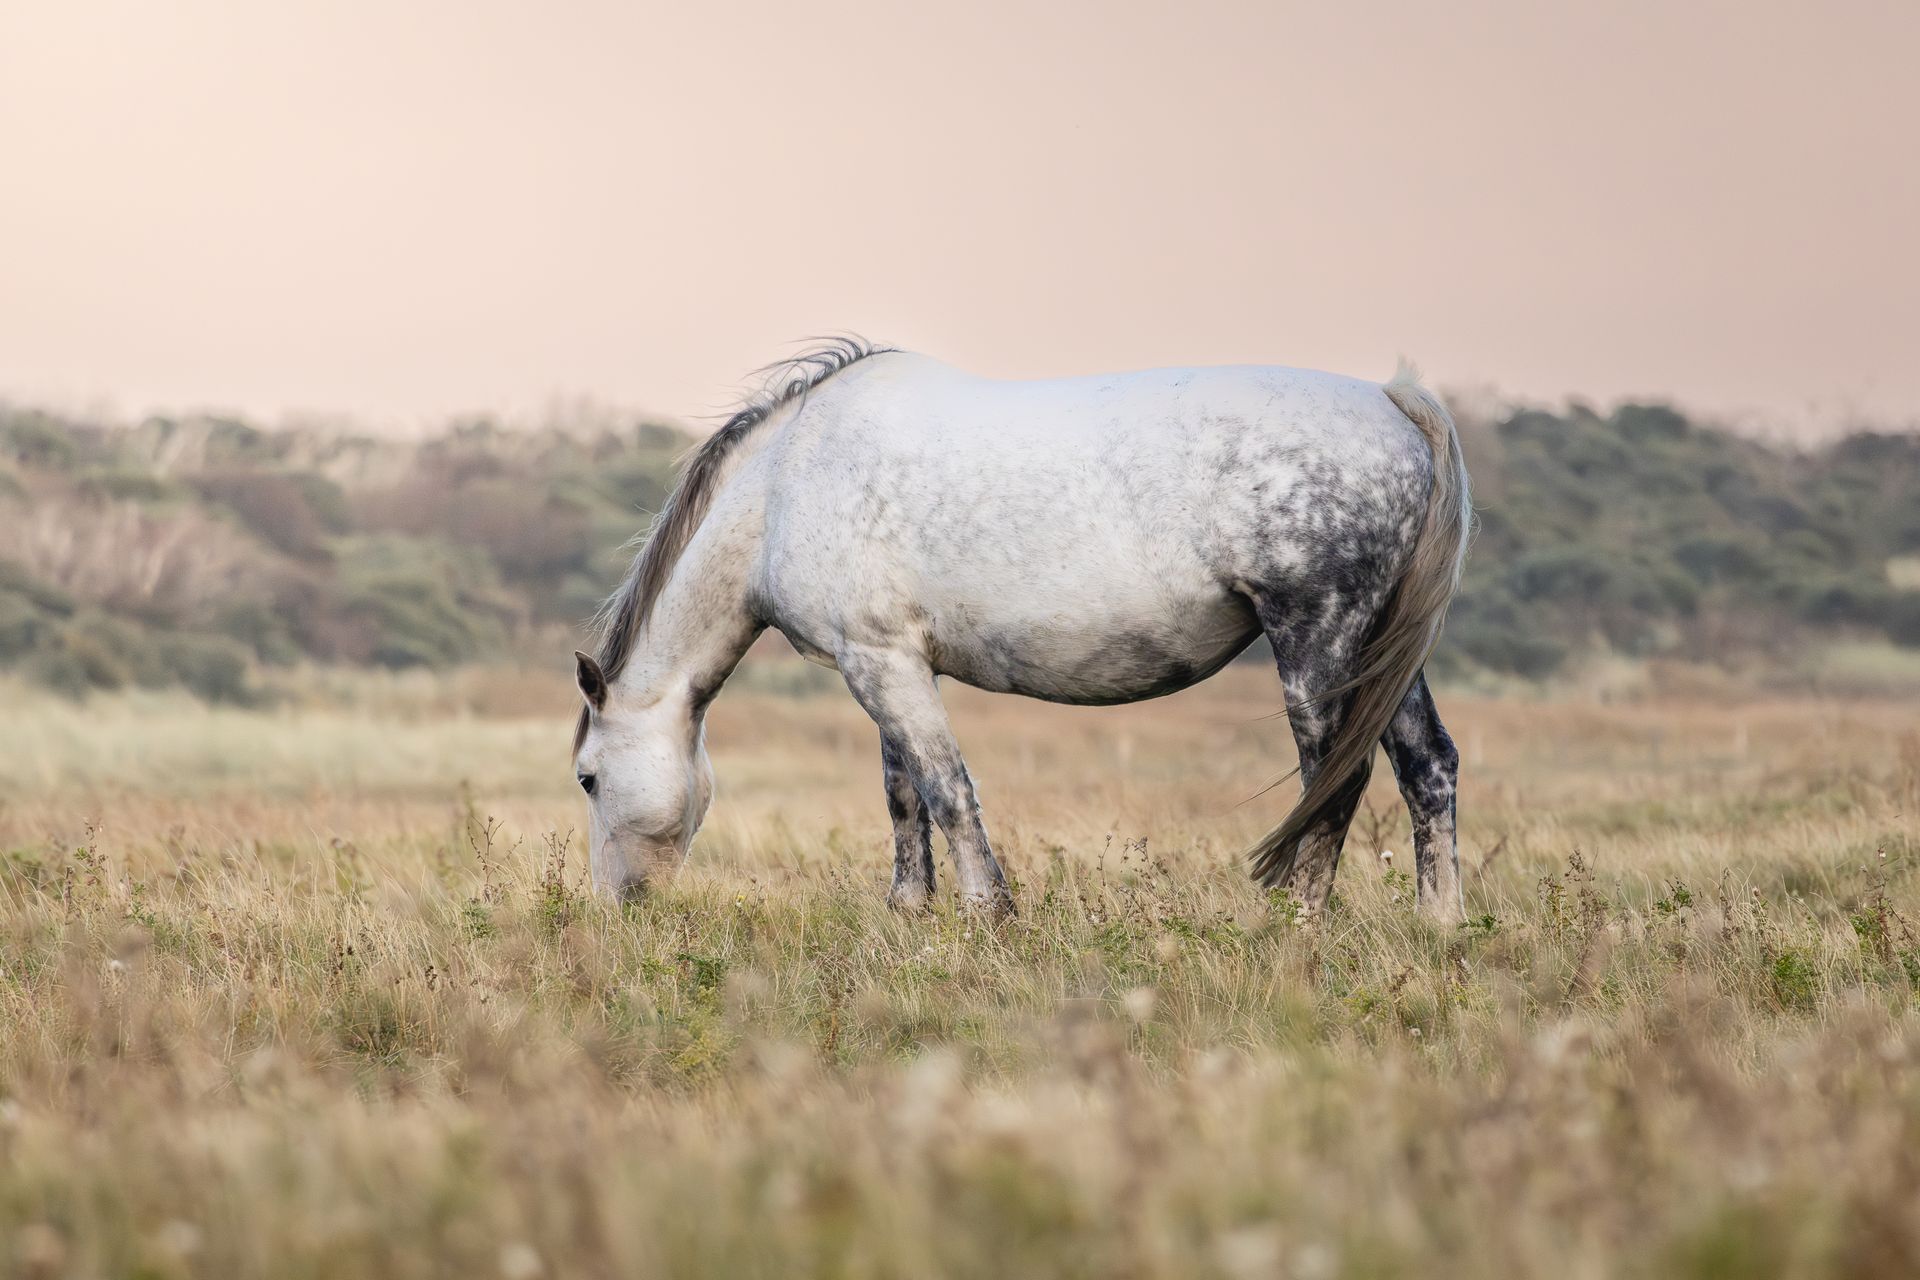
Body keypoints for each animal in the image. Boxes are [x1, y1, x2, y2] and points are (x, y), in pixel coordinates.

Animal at [571, 339, 1472, 920]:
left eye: (586, 778)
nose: (618, 905)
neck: (781, 484)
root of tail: (1393, 404)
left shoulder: (880, 665)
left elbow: (946, 789)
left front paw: (986, 913)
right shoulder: (889, 660)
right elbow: (905, 794)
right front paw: (909, 912)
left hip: (1317, 643)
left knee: (1335, 782)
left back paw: (1300, 925)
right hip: (1377, 654)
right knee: (1427, 768)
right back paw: (1439, 924)